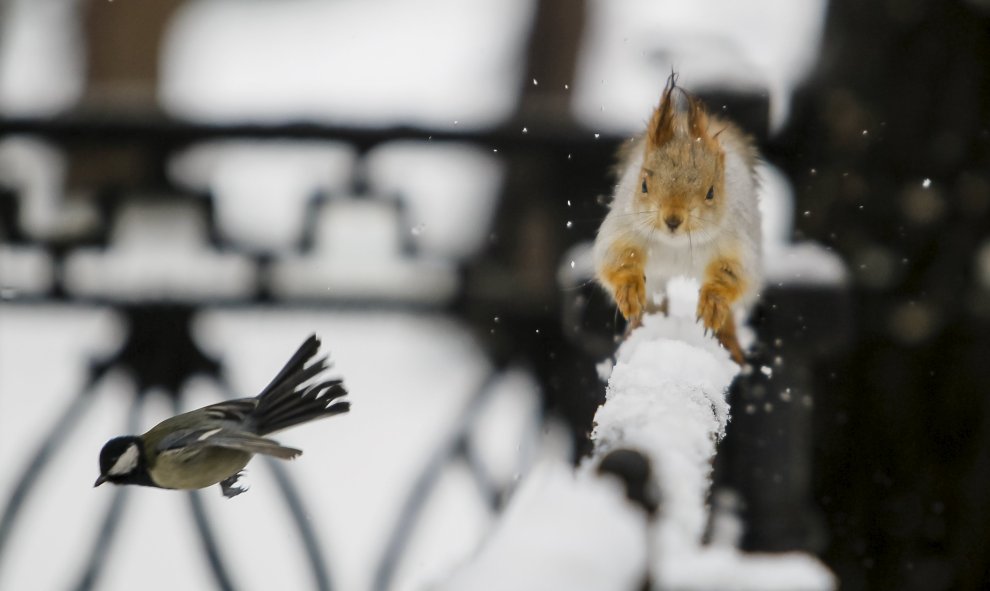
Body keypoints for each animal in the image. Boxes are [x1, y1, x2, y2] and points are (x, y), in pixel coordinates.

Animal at [592, 73, 764, 360]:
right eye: (644, 185)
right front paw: (628, 290)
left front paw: (713, 303)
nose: (672, 220)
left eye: (711, 192)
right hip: (655, 278)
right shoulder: (624, 229)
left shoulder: (735, 244)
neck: (678, 245)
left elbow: (732, 275)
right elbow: (616, 260)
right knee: (653, 300)